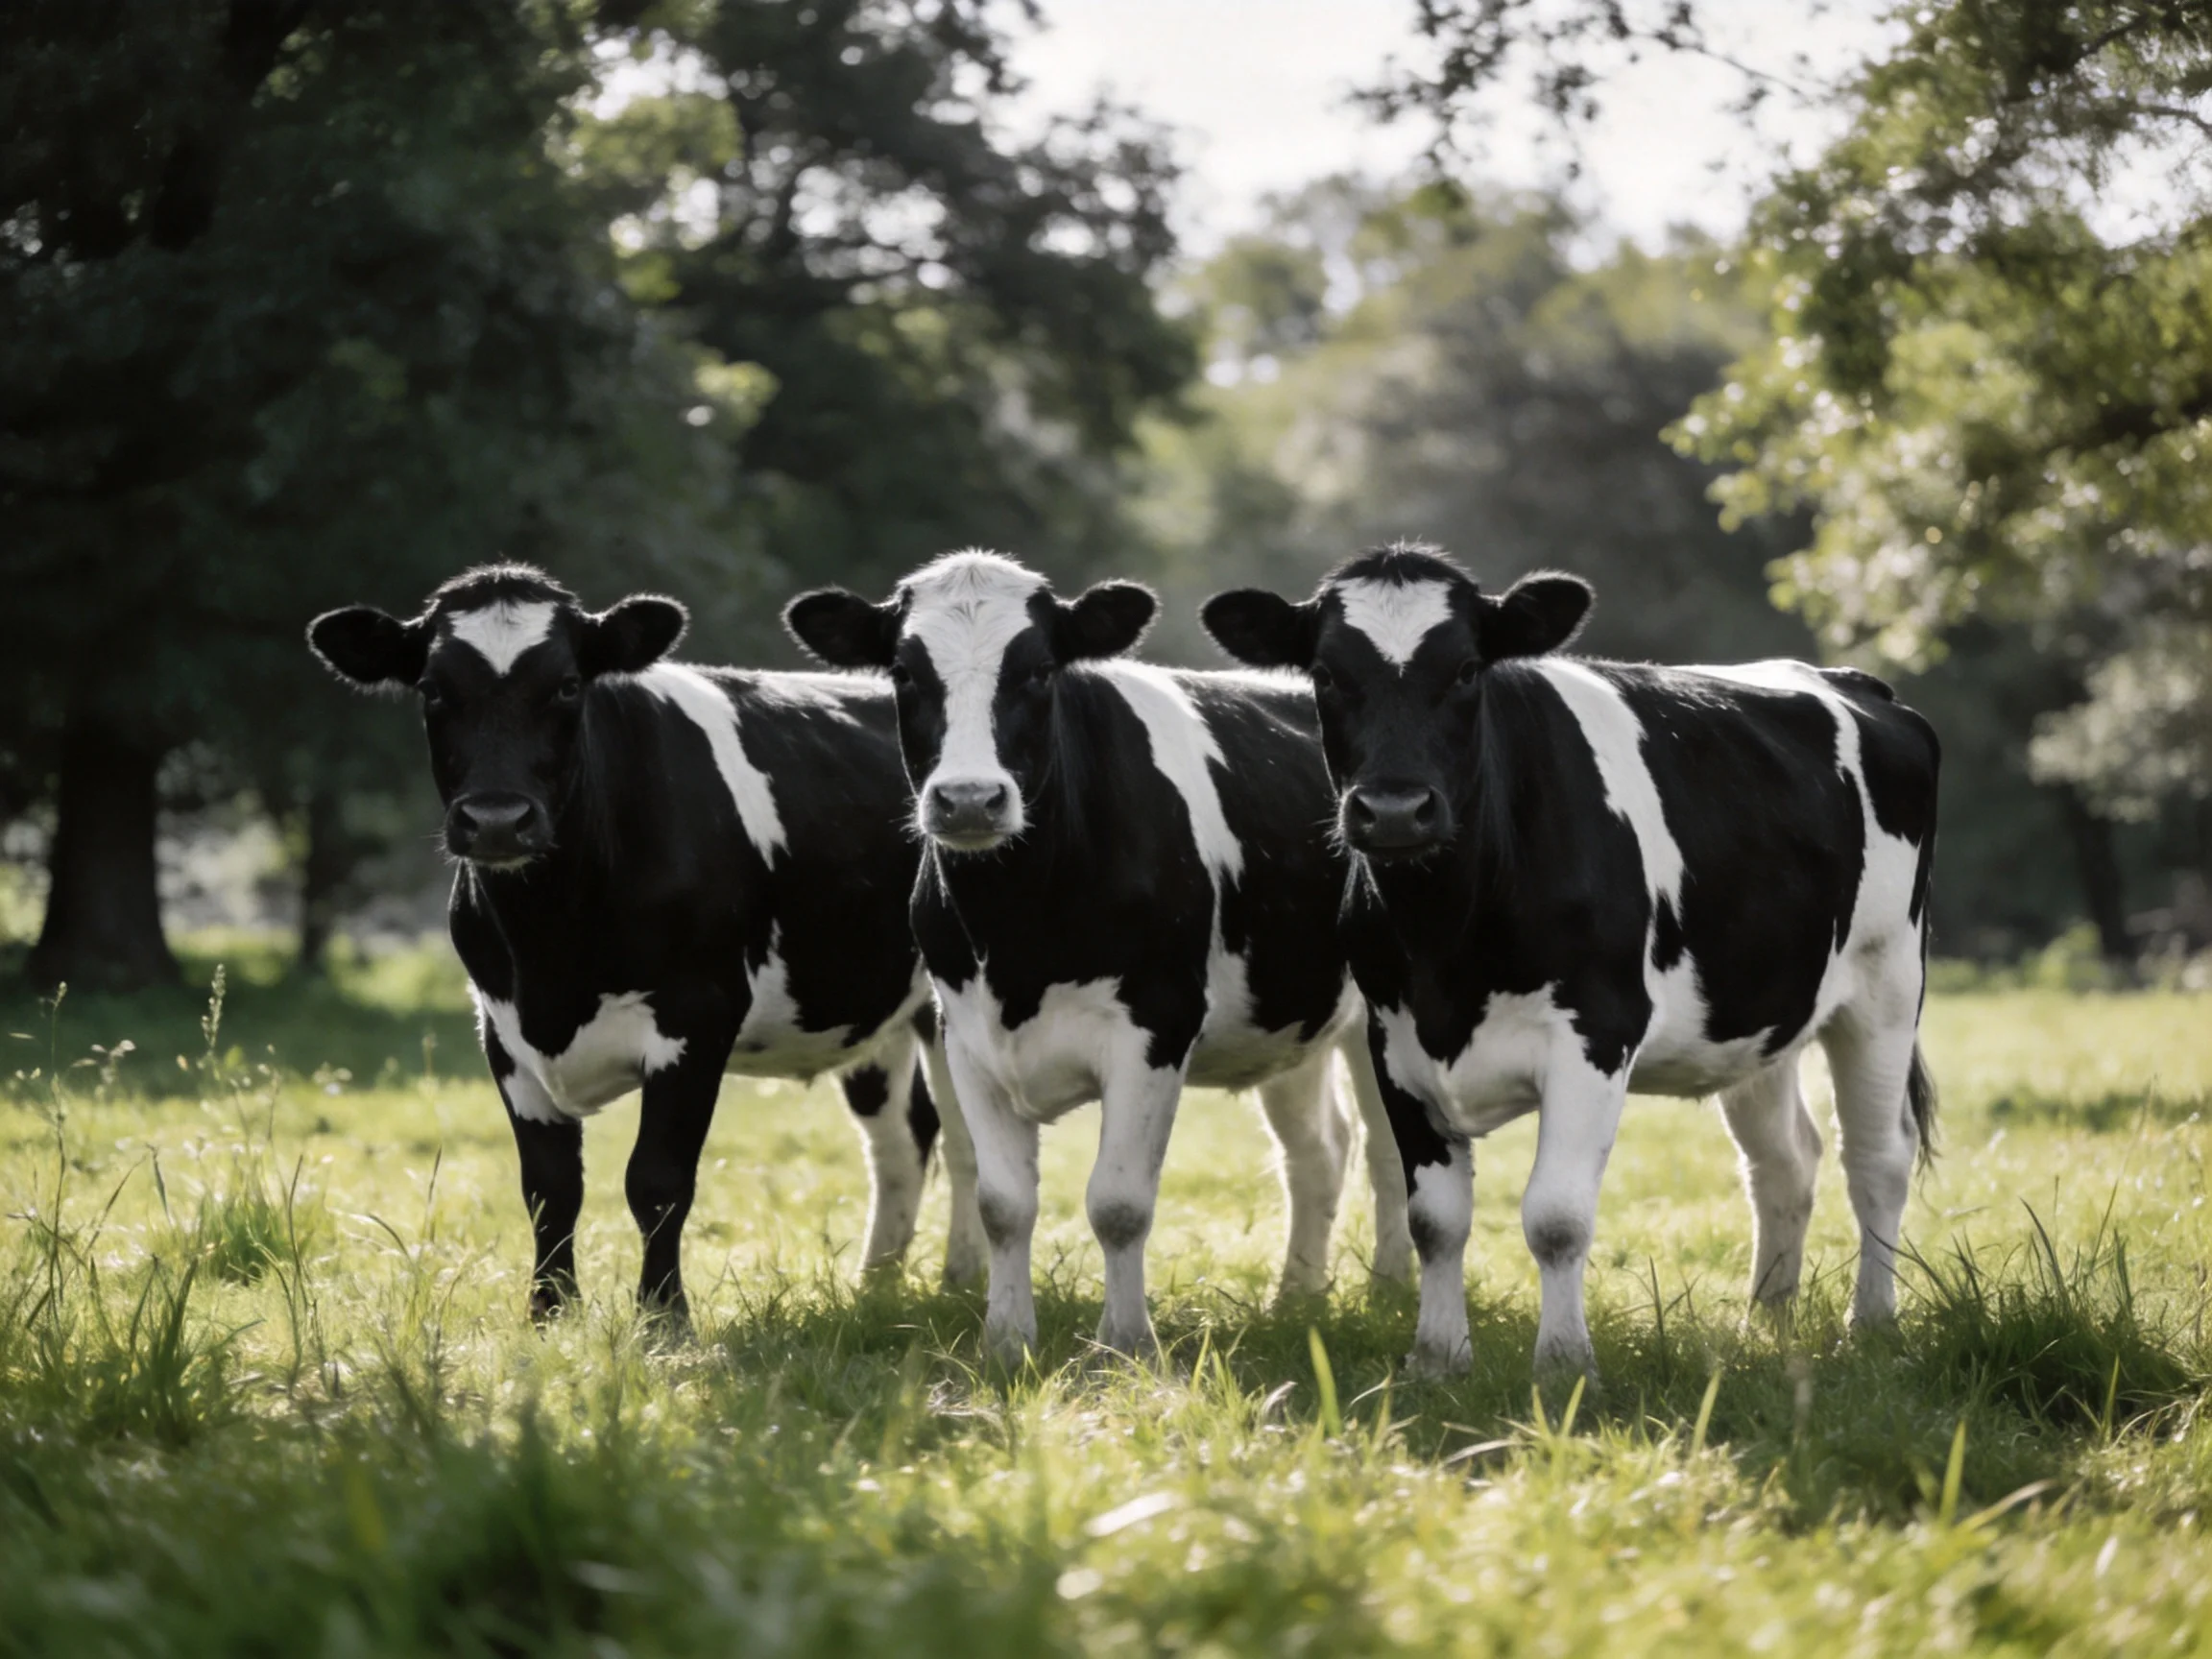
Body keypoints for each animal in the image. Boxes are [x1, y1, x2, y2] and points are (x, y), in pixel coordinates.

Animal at [307, 563, 986, 1327]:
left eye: (569, 685)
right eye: (431, 688)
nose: (497, 821)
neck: (551, 950)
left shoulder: (697, 1017)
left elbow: (657, 1182)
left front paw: (663, 1317)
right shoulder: (502, 1032)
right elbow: (549, 1187)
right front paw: (548, 1313)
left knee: (964, 1140)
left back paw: (962, 1279)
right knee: (902, 1139)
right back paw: (878, 1285)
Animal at [783, 551, 1414, 1365]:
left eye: (1038, 671)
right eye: (903, 673)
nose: (969, 800)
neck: (1018, 929)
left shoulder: (1155, 1029)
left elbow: (1118, 1204)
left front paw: (1125, 1345)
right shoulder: (966, 1038)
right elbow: (1002, 1204)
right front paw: (1006, 1343)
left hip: (1381, 1015)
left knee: (1387, 1149)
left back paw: (1391, 1292)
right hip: (1291, 1012)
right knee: (1320, 1150)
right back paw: (1295, 1298)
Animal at [1202, 544, 1940, 1379]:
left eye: (1467, 669)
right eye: (1326, 674)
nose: (1393, 810)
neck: (1445, 943)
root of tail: (1851, 681)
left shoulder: (1595, 1032)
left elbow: (1555, 1217)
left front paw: (1562, 1363)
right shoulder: (1393, 1042)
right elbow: (1436, 1219)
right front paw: (1438, 1359)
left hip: (1886, 986)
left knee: (1877, 1156)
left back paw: (1870, 1325)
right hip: (1756, 1011)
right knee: (1785, 1159)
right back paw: (1766, 1323)